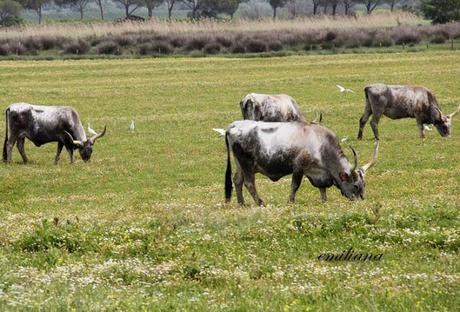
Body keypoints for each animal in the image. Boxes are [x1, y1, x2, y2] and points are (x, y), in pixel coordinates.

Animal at [217, 121, 380, 205]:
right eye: (355, 185)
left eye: (364, 185)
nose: (360, 200)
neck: (321, 143)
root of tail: (233, 126)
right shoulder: (299, 167)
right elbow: (295, 186)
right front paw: (291, 202)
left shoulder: (319, 173)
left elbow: (322, 189)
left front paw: (324, 201)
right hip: (247, 165)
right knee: (249, 183)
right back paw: (260, 202)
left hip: (239, 165)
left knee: (237, 181)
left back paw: (241, 203)